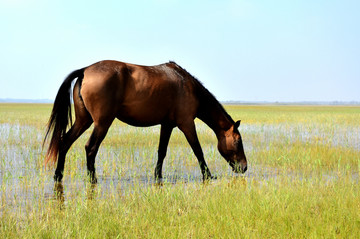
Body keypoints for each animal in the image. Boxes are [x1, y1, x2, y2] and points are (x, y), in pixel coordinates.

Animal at [43, 59, 248, 183]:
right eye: (238, 141)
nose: (244, 167)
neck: (186, 85)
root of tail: (84, 71)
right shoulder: (187, 123)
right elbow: (197, 150)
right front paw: (208, 175)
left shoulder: (167, 125)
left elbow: (161, 152)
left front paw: (158, 176)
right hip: (102, 123)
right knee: (90, 148)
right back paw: (92, 179)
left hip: (83, 120)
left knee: (65, 142)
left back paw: (58, 175)